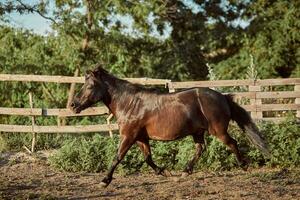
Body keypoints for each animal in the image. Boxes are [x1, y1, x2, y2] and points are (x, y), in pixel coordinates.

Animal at [71, 64, 270, 188]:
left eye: (90, 86)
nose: (73, 105)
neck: (130, 104)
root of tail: (223, 97)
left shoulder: (129, 136)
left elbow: (117, 157)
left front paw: (104, 181)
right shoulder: (141, 138)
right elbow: (148, 158)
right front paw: (164, 172)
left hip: (218, 131)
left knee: (232, 143)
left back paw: (244, 166)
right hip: (198, 132)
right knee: (200, 149)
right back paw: (185, 172)